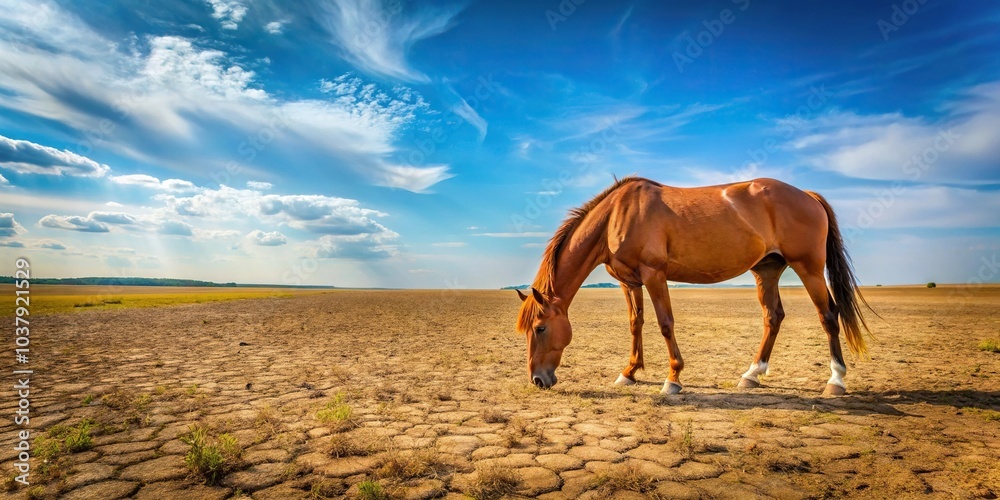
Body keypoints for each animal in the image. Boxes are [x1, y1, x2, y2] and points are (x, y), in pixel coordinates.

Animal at [515, 176, 873, 396]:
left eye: (540, 328)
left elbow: (665, 324)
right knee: (773, 317)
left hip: (809, 268)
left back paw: (836, 380)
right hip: (767, 271)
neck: (617, 215)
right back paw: (751, 375)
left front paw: (673, 378)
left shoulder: (654, 275)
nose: (537, 379)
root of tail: (807, 195)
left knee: (829, 316)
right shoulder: (629, 282)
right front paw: (629, 373)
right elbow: (635, 324)